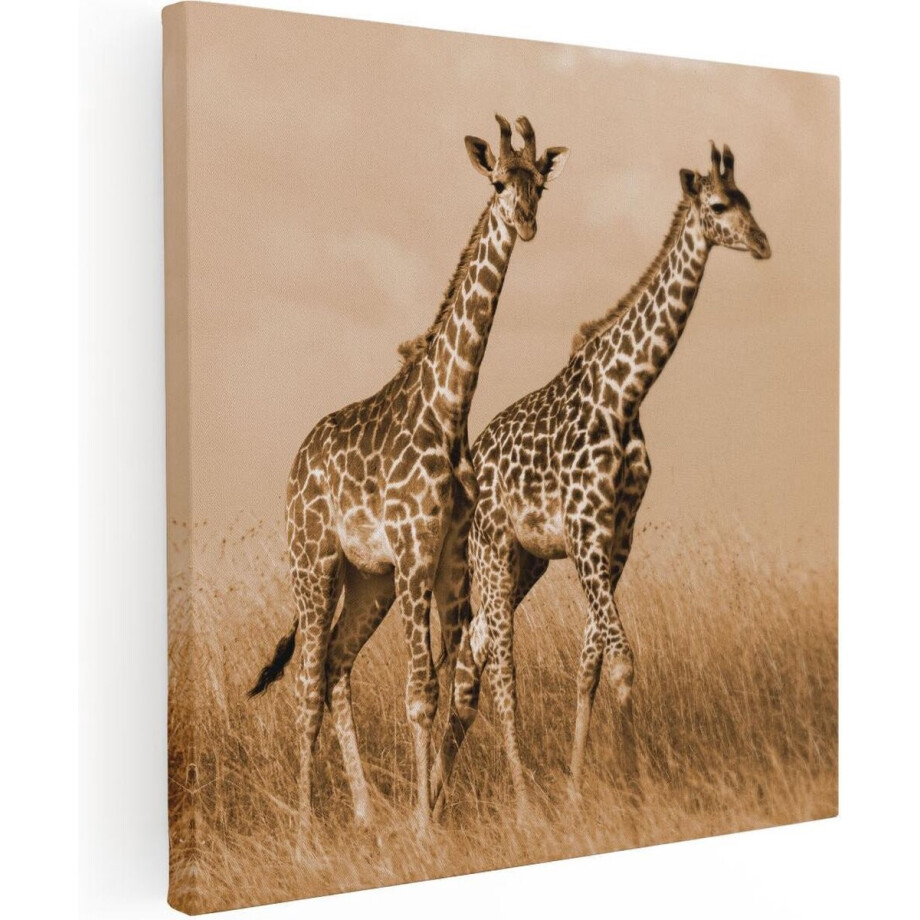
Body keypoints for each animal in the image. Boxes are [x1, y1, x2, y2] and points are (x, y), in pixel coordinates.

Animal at [248, 114, 569, 837]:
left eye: (540, 184)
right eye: (498, 182)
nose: (528, 222)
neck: (448, 408)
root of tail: (295, 463)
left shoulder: (447, 559)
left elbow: (443, 685)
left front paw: (430, 814)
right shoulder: (417, 552)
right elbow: (419, 692)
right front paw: (424, 826)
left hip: (369, 579)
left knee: (336, 665)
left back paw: (366, 812)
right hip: (314, 561)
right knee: (307, 680)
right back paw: (305, 828)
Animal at [430, 143, 771, 820]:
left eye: (749, 200)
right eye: (720, 205)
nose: (764, 242)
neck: (626, 391)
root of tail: (468, 466)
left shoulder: (617, 535)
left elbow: (590, 661)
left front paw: (575, 791)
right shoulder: (586, 530)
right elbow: (621, 659)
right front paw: (632, 791)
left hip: (527, 561)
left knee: (473, 655)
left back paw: (432, 803)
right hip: (492, 551)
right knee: (498, 664)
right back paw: (517, 805)